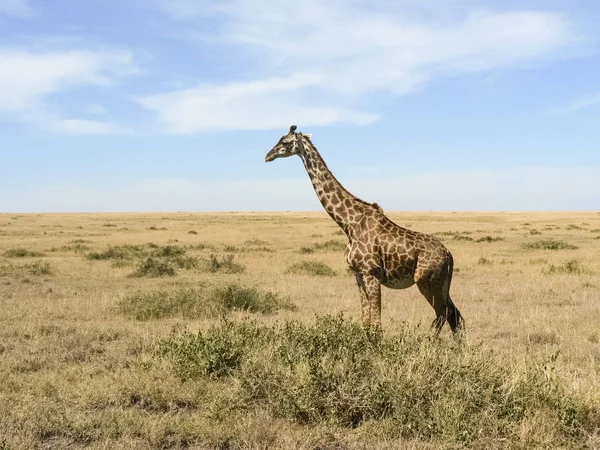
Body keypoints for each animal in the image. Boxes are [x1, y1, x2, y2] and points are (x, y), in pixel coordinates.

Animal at [264, 125, 464, 332]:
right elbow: (366, 321)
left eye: (285, 141)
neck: (348, 225)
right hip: (442, 284)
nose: (267, 155)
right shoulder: (358, 276)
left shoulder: (371, 274)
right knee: (454, 314)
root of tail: (449, 256)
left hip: (427, 281)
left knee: (442, 314)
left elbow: (376, 324)